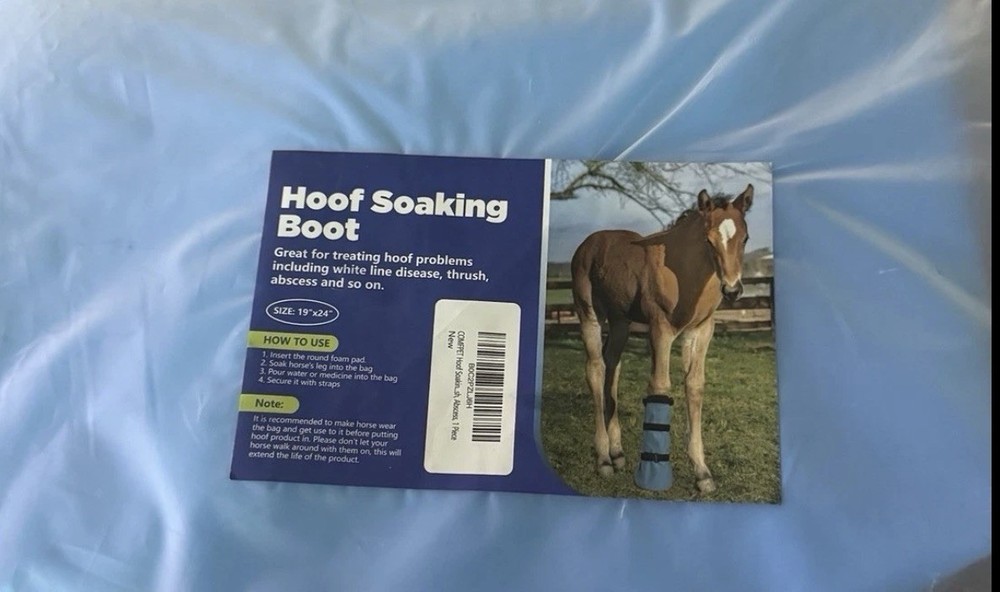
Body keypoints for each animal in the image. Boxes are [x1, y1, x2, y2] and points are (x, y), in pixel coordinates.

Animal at [569, 184, 754, 494]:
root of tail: (587, 243)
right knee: (595, 368)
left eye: (745, 238)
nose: (732, 290)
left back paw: (617, 452)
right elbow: (659, 386)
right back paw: (604, 458)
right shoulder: (660, 328)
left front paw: (702, 473)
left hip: (620, 322)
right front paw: (653, 473)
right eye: (708, 240)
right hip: (589, 313)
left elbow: (694, 386)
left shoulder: (701, 330)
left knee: (612, 365)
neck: (685, 273)